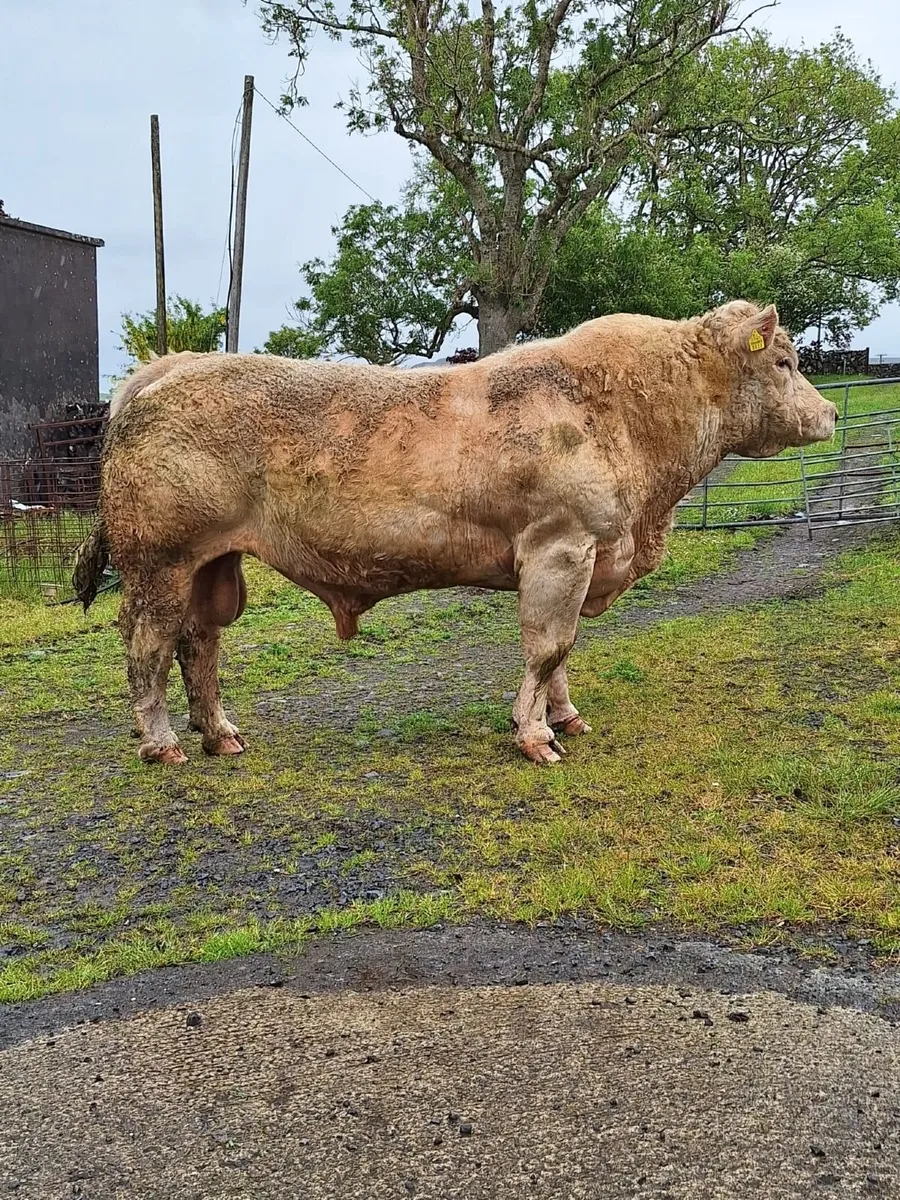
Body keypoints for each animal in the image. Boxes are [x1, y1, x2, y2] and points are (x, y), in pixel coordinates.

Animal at [74, 301, 836, 767]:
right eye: (785, 362)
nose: (829, 413)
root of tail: (168, 367)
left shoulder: (584, 556)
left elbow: (563, 653)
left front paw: (566, 716)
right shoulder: (561, 546)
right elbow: (548, 645)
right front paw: (534, 735)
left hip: (213, 563)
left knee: (199, 642)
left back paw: (220, 733)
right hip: (159, 561)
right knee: (147, 645)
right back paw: (162, 743)